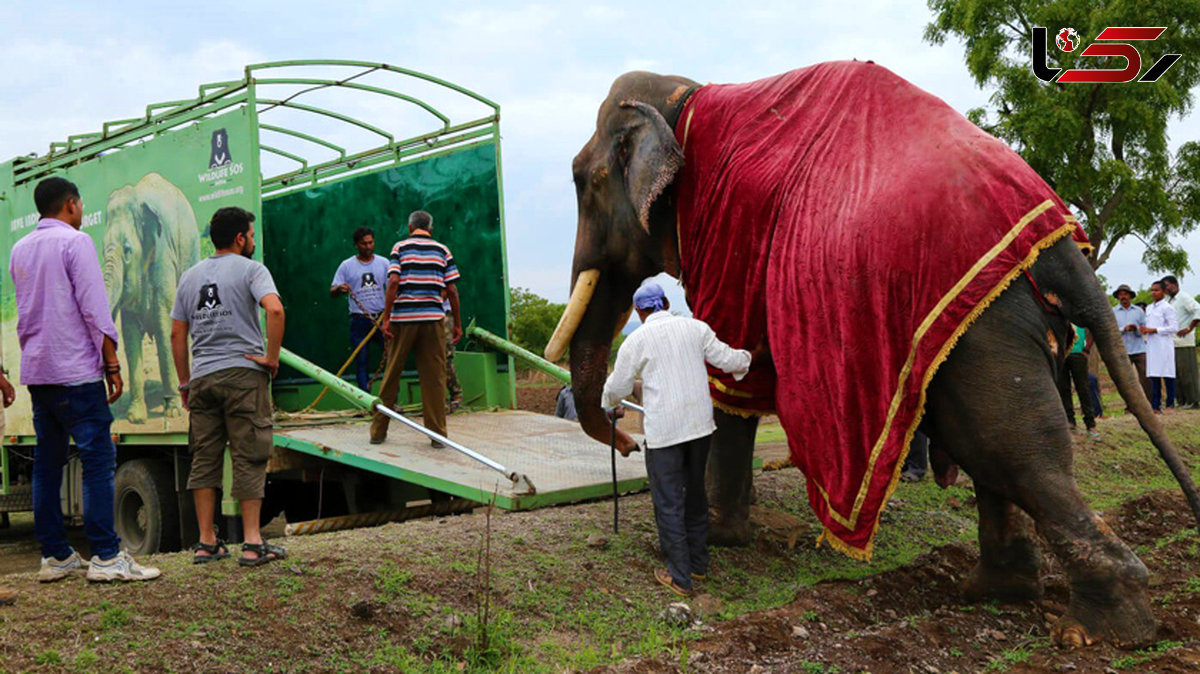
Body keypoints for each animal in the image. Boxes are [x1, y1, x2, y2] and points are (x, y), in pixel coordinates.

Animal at [102, 171, 200, 419]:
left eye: (128, 250)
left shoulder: (162, 255)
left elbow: (165, 326)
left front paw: (173, 412)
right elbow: (129, 334)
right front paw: (136, 417)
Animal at [554, 61, 1200, 647]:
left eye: (582, 181)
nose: (626, 440)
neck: (686, 93)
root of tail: (1063, 243)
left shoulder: (729, 234)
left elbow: (732, 371)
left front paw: (718, 534)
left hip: (982, 322)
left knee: (1012, 451)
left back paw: (1099, 631)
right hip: (1006, 319)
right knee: (994, 447)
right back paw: (992, 593)